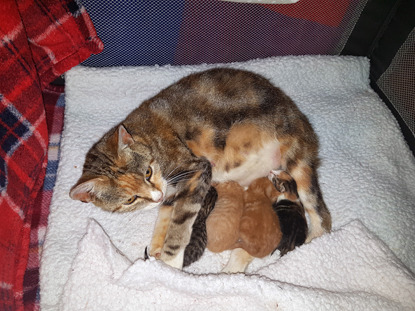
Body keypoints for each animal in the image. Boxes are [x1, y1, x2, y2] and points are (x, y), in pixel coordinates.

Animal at [70, 67, 332, 270]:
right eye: (130, 200)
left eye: (147, 172)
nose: (156, 196)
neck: (148, 139)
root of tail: (300, 115)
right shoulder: (172, 190)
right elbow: (166, 214)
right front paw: (156, 247)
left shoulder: (196, 169)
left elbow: (180, 221)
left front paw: (171, 261)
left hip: (296, 158)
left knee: (321, 217)